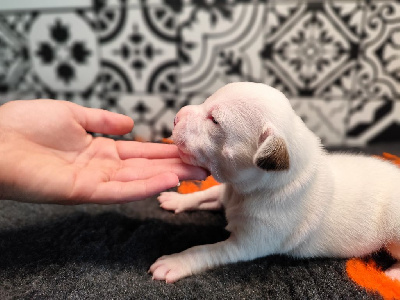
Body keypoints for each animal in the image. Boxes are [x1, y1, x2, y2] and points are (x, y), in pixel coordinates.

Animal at [148, 82, 400, 284]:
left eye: (215, 120)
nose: (176, 117)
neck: (244, 191)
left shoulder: (248, 244)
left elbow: (207, 251)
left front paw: (175, 262)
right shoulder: (228, 193)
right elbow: (206, 194)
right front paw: (178, 198)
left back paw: (393, 274)